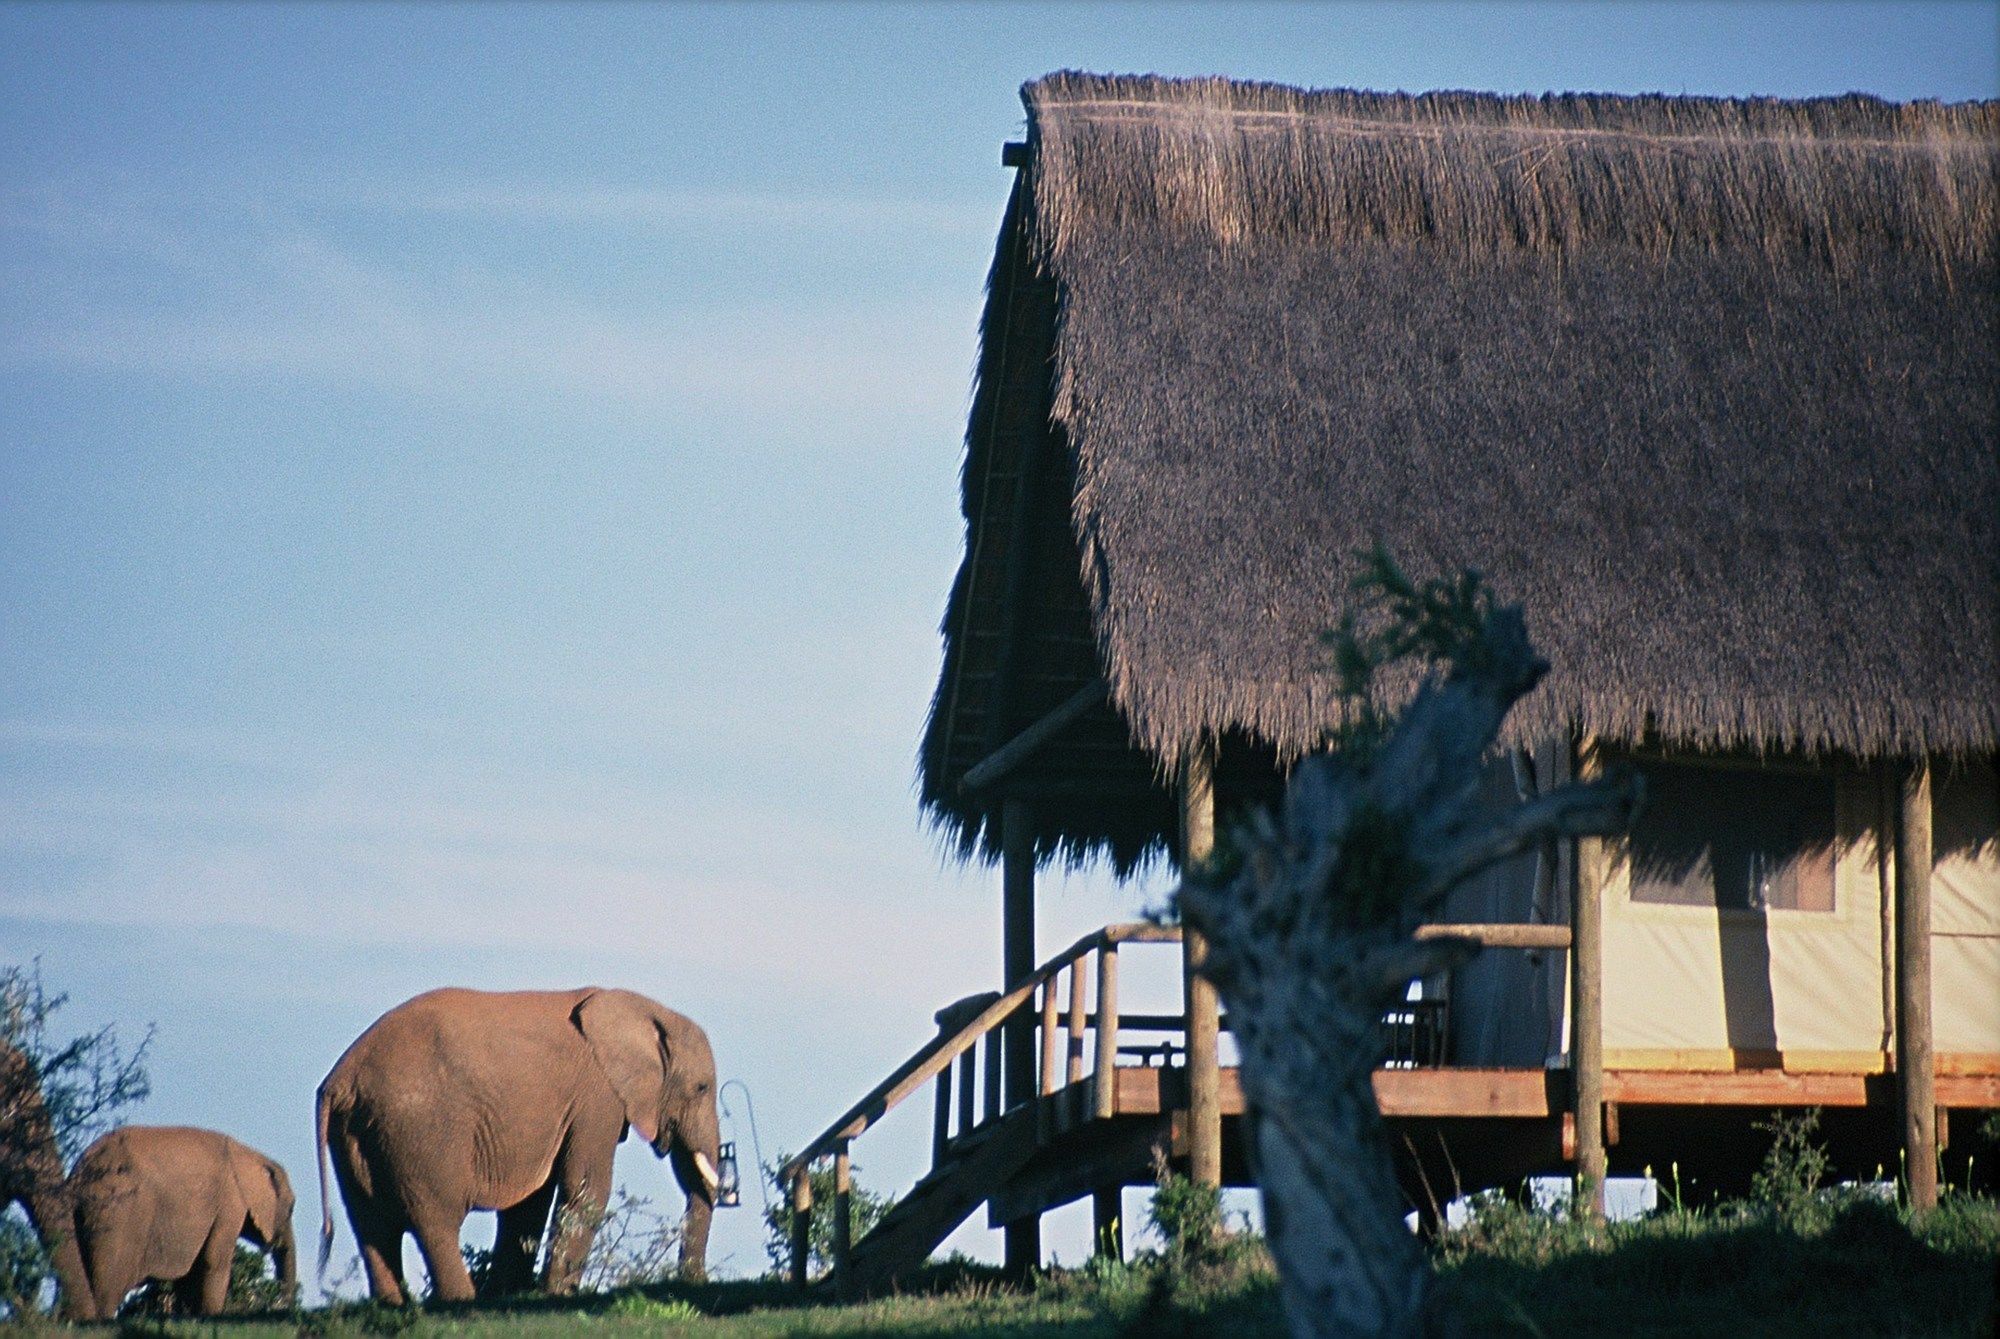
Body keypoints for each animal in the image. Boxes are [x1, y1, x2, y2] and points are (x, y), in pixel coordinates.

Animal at [70, 1119, 294, 1319]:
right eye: (291, 1208)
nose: (280, 1303)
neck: (250, 1153)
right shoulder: (230, 1202)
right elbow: (214, 1260)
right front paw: (210, 1317)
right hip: (117, 1215)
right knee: (108, 1287)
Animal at [324, 991, 732, 1303]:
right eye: (701, 1088)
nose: (695, 1282)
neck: (645, 1010)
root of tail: (339, 1081)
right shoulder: (597, 1095)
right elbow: (586, 1188)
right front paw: (557, 1296)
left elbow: (530, 1203)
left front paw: (511, 1294)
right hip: (419, 1132)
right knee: (435, 1220)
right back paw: (461, 1302)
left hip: (355, 1134)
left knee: (371, 1226)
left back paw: (393, 1304)